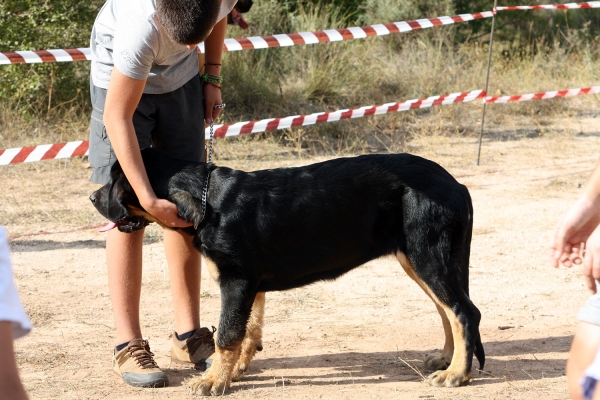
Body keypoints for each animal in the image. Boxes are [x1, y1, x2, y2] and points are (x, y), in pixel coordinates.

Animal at [90, 147, 482, 394]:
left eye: (116, 182)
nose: (92, 198)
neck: (207, 198)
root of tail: (458, 185)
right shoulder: (252, 283)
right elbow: (249, 328)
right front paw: (236, 369)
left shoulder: (236, 279)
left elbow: (228, 332)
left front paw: (214, 381)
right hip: (418, 259)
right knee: (448, 310)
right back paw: (446, 360)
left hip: (428, 254)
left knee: (463, 311)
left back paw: (456, 375)